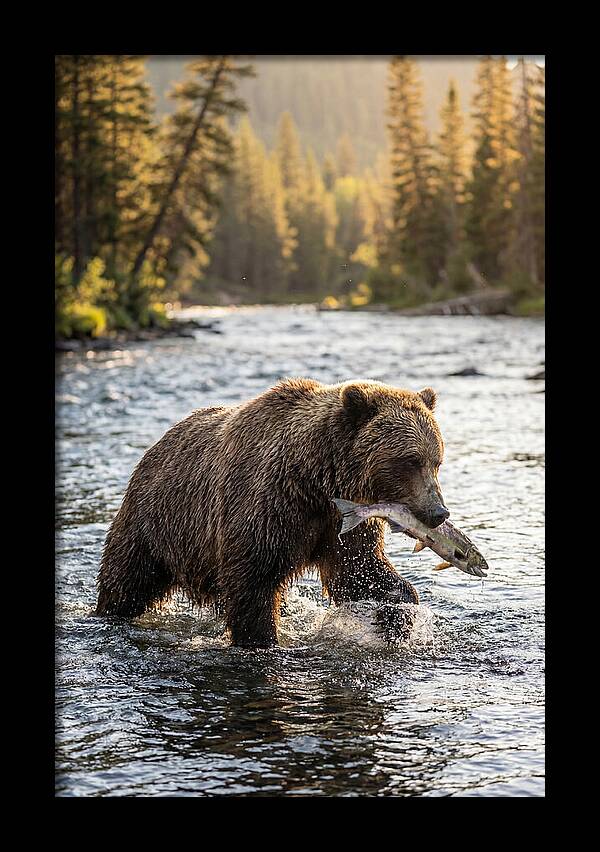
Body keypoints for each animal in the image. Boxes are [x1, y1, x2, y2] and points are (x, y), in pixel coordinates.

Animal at [96, 378, 449, 647]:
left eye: (436, 460)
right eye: (410, 460)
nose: (439, 512)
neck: (316, 480)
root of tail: (155, 446)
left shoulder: (342, 520)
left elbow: (359, 570)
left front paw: (398, 613)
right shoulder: (268, 506)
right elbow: (252, 582)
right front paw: (262, 639)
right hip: (156, 523)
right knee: (127, 579)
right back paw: (108, 613)